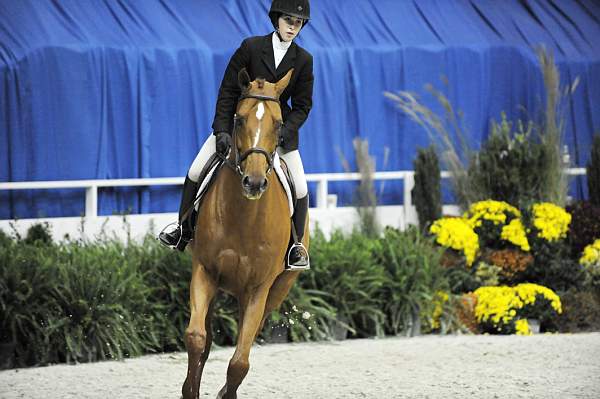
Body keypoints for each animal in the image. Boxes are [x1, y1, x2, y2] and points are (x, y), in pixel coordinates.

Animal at [180, 67, 308, 398]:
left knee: (250, 337)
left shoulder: (258, 289)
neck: (244, 217)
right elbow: (197, 338)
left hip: (275, 291)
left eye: (279, 124)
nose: (254, 182)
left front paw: (226, 393)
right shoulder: (205, 271)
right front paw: (190, 390)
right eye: (238, 120)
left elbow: (240, 362)